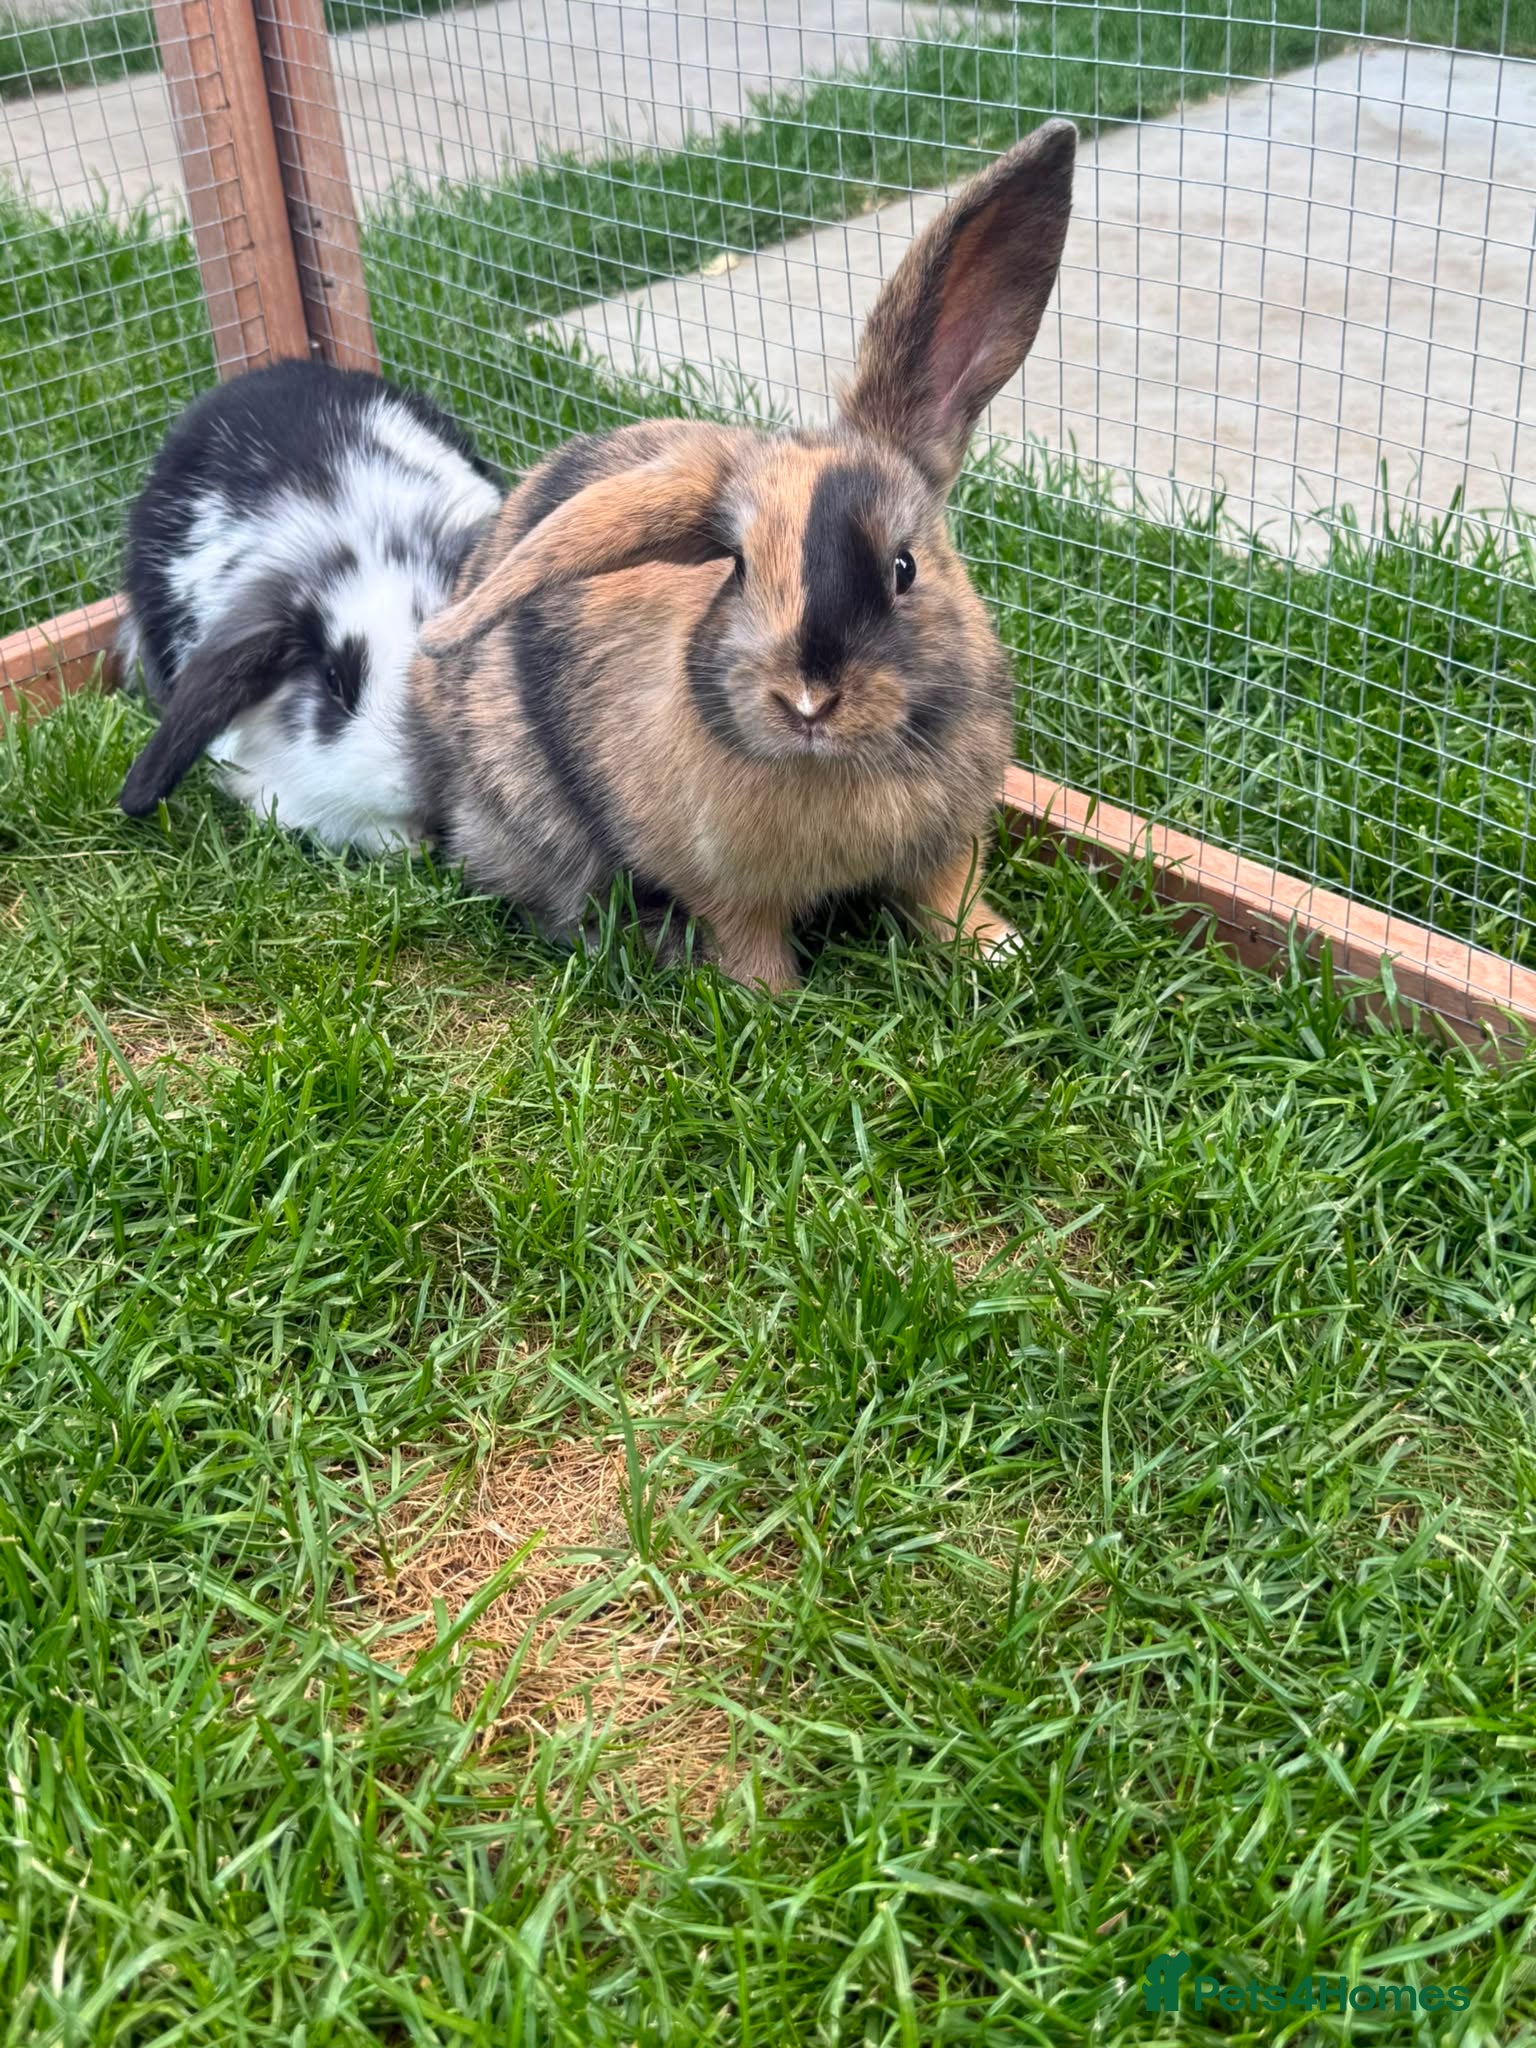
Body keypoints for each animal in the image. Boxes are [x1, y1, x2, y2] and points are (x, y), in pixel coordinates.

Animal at [407, 120, 1077, 990]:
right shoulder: (722, 887)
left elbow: (948, 896)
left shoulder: (949, 844)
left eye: (904, 568)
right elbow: (749, 938)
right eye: (740, 569)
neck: (839, 769)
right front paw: (771, 999)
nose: (809, 702)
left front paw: (998, 952)